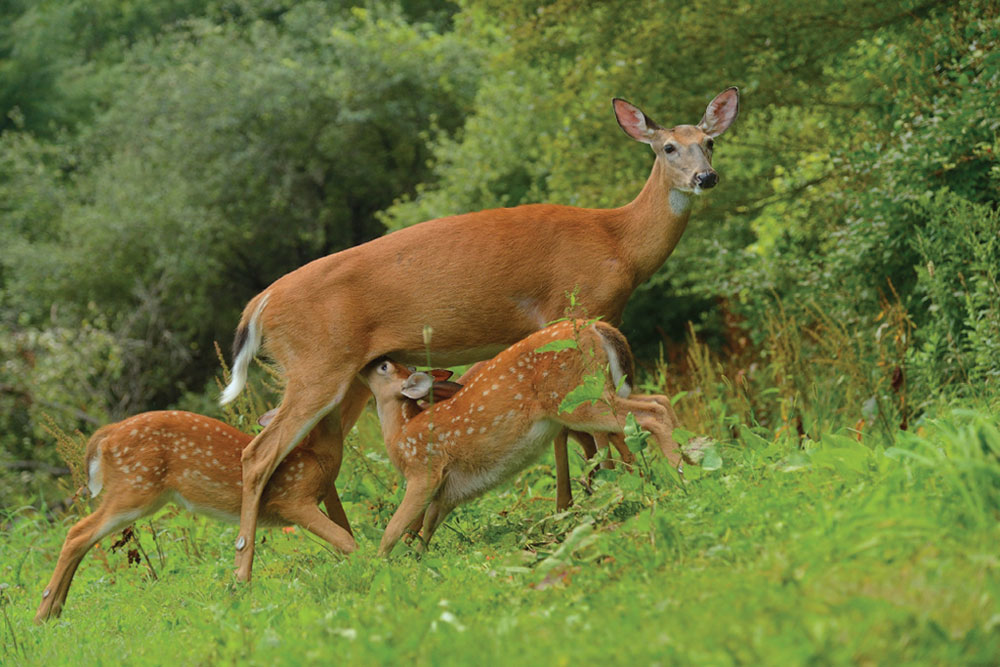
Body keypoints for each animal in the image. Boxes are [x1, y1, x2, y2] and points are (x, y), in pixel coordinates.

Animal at [223, 87, 740, 580]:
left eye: (709, 142)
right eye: (668, 147)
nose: (706, 177)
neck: (620, 243)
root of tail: (259, 305)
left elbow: (573, 432)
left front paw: (587, 498)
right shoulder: (573, 309)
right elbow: (584, 433)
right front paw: (604, 492)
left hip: (344, 377)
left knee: (319, 455)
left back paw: (355, 547)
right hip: (318, 366)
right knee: (258, 455)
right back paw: (245, 571)